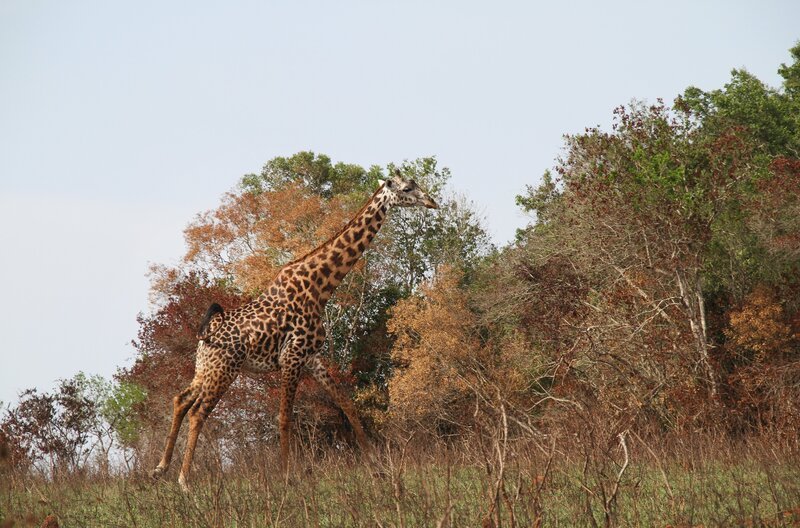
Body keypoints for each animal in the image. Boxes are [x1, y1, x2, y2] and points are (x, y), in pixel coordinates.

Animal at [151, 172, 438, 490]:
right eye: (408, 188)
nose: (432, 202)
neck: (320, 287)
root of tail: (207, 333)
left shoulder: (311, 357)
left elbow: (348, 406)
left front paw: (378, 470)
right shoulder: (291, 356)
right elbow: (285, 417)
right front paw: (288, 476)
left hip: (206, 368)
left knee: (180, 400)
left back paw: (160, 468)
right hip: (226, 369)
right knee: (198, 412)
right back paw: (184, 480)